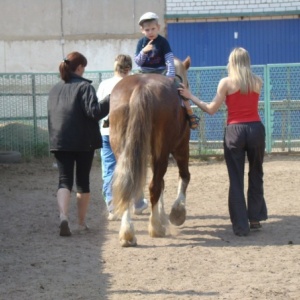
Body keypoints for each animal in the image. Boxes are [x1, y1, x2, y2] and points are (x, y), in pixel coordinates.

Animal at [109, 56, 191, 246]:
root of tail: (141, 87)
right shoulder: (181, 146)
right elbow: (184, 176)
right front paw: (177, 212)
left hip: (122, 148)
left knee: (127, 183)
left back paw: (127, 233)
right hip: (163, 150)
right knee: (154, 185)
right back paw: (155, 227)